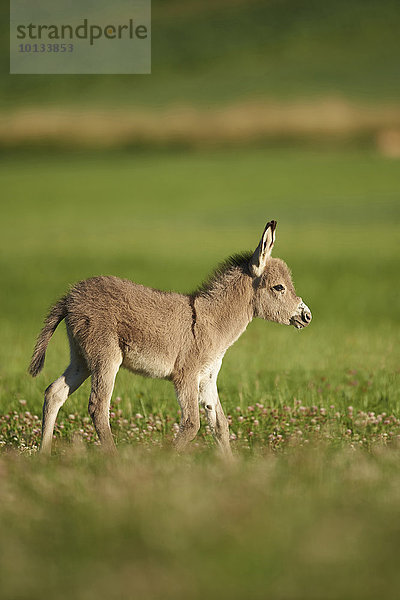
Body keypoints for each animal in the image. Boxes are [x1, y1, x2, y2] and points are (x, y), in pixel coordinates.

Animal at [28, 220, 312, 454]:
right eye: (279, 287)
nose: (306, 315)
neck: (211, 321)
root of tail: (70, 296)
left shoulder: (207, 378)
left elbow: (220, 426)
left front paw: (231, 469)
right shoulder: (185, 375)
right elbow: (191, 424)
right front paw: (165, 462)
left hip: (82, 358)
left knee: (54, 393)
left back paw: (44, 455)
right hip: (105, 356)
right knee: (98, 406)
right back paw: (113, 459)